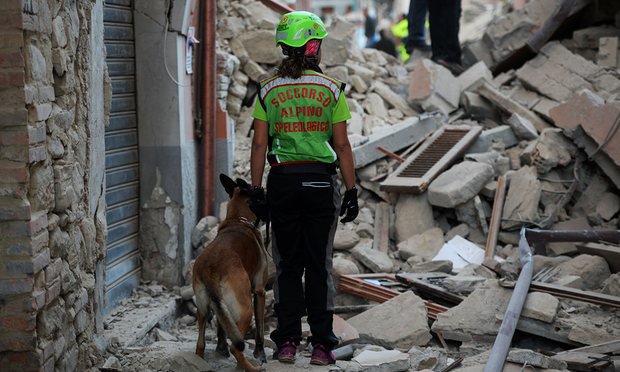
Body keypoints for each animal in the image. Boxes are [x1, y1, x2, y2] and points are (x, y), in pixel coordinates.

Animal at [193, 175, 268, 372]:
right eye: (259, 192)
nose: (264, 189)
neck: (237, 219)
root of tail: (210, 268)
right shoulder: (259, 291)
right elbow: (260, 331)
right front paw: (261, 354)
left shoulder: (221, 307)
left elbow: (222, 325)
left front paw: (221, 349)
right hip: (246, 309)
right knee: (237, 347)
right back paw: (250, 368)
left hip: (202, 310)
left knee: (200, 344)